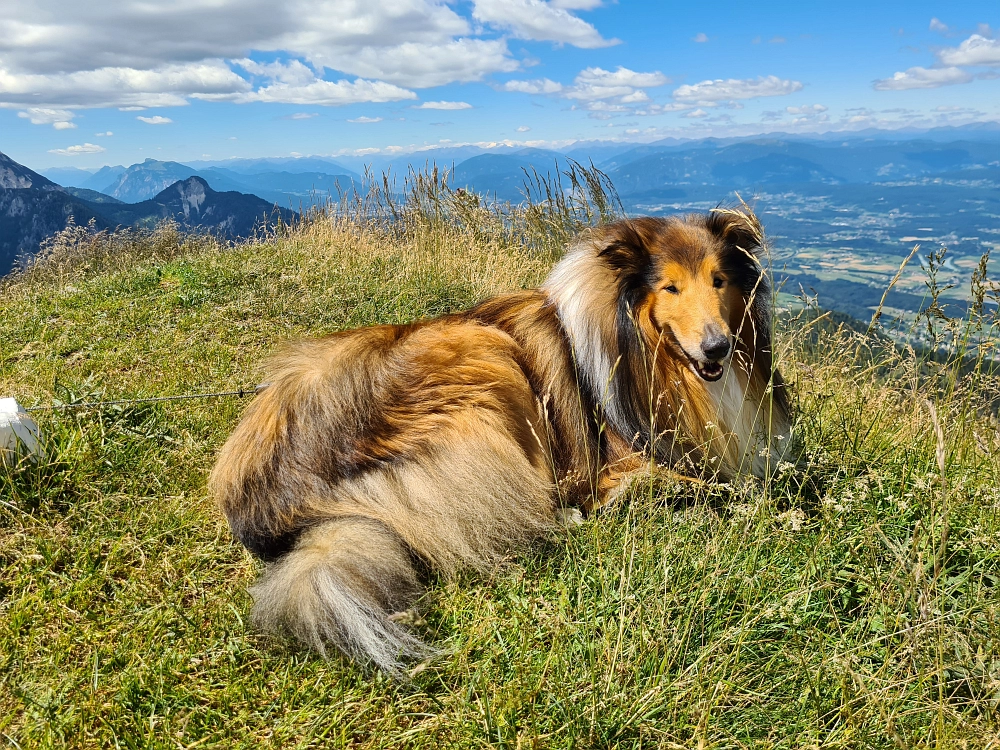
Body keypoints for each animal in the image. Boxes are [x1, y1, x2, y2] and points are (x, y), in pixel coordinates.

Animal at [209, 210, 788, 676]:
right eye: (669, 288)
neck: (648, 354)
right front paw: (771, 507)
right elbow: (711, 485)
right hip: (488, 353)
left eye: (718, 280)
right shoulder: (613, 463)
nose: (718, 346)